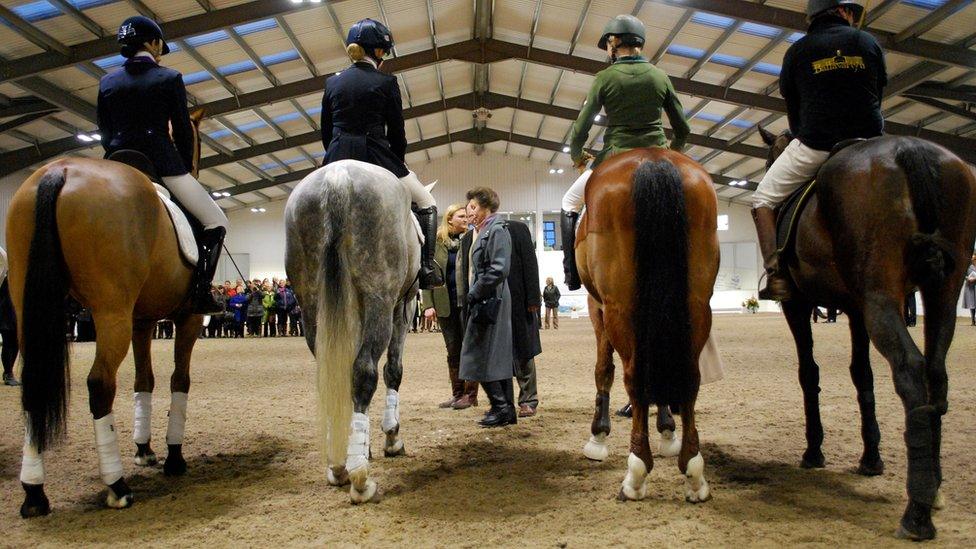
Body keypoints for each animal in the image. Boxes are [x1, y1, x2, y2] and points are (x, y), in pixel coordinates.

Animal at [8, 109, 210, 516]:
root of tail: (60, 171)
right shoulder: (189, 318)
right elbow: (179, 380)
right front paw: (174, 457)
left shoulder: (141, 321)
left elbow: (144, 381)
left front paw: (144, 450)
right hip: (109, 312)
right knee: (100, 384)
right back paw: (117, 487)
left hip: (30, 311)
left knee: (33, 384)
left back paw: (34, 493)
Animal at [282, 158, 420, 500]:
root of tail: (338, 177)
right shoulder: (404, 304)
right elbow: (394, 370)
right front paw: (391, 438)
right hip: (380, 299)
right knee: (364, 372)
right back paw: (359, 477)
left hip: (311, 305)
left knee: (334, 374)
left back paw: (339, 464)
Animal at [576, 148, 720, 504]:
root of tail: (653, 160)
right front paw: (668, 431)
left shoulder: (598, 307)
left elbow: (604, 370)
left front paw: (597, 438)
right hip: (696, 305)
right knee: (688, 378)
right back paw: (694, 473)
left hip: (620, 308)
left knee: (635, 378)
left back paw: (636, 472)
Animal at [760, 127, 976, 540]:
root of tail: (910, 147)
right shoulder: (855, 309)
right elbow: (863, 376)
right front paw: (871, 458)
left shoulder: (798, 306)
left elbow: (808, 373)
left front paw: (813, 451)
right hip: (942, 291)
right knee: (936, 372)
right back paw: (934, 489)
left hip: (880, 296)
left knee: (910, 369)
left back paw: (917, 513)